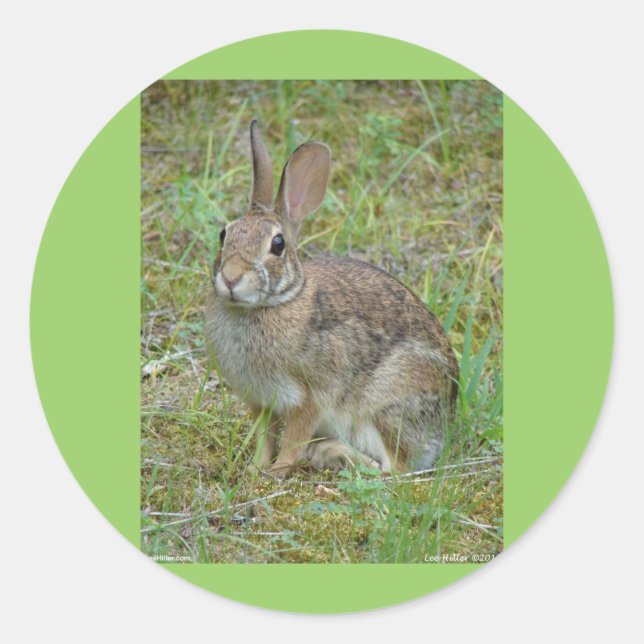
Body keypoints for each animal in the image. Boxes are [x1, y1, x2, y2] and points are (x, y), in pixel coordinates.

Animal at [205, 120, 458, 478]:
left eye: (278, 245)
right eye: (224, 233)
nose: (230, 277)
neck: (273, 303)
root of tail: (444, 426)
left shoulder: (307, 399)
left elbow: (292, 441)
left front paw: (277, 471)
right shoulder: (261, 402)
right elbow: (264, 438)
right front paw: (255, 470)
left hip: (387, 405)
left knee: (391, 469)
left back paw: (331, 452)